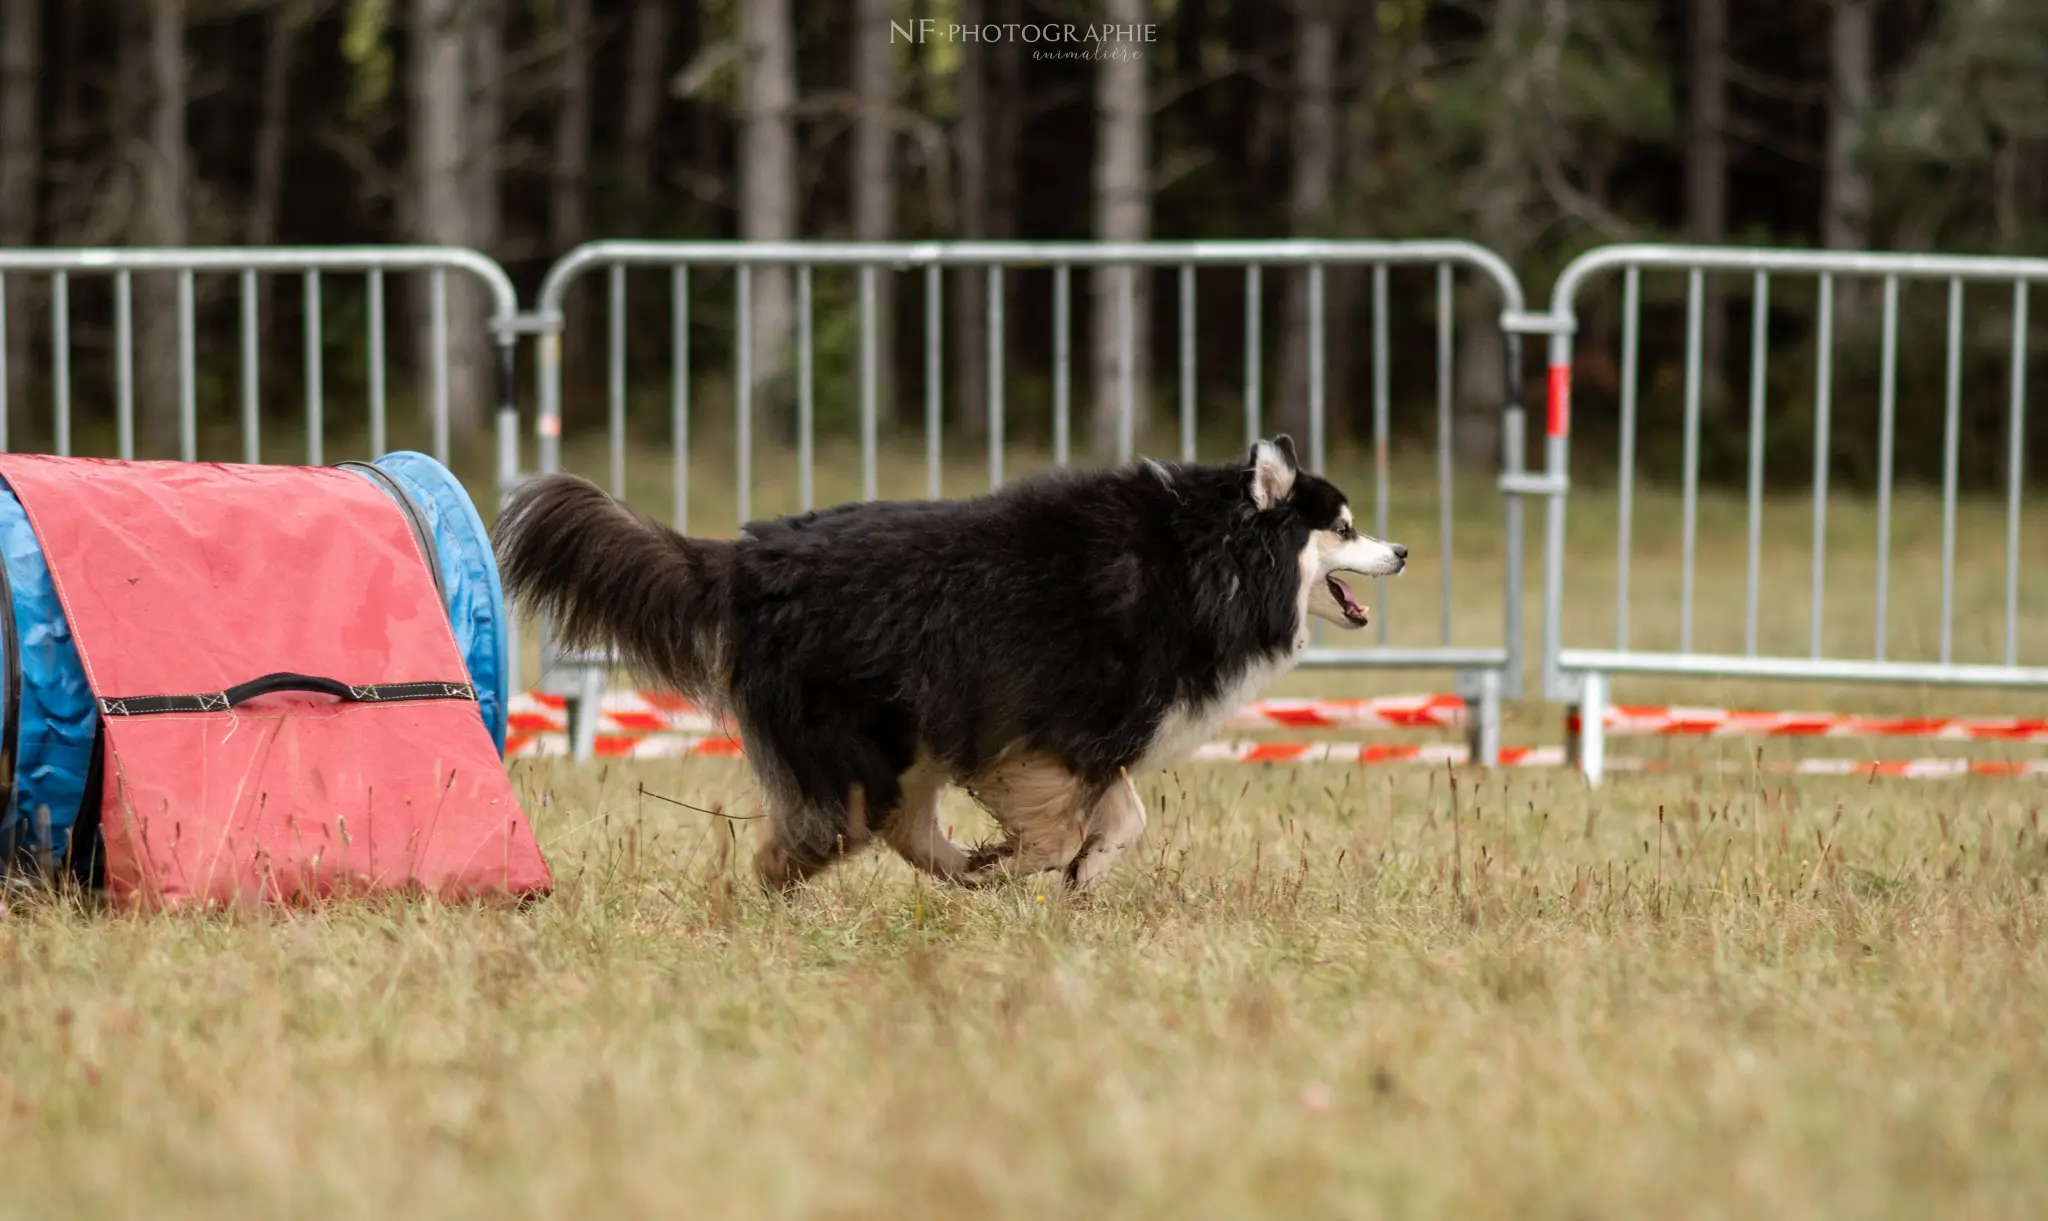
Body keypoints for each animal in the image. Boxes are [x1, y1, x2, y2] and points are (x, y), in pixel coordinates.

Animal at [491, 434, 1409, 893]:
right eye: (1345, 526)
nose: (1401, 549)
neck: (1203, 558)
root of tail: (745, 560)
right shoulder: (1044, 722)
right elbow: (1069, 820)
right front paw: (1034, 860)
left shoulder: (1089, 733)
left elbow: (1122, 819)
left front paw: (1071, 874)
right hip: (861, 741)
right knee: (832, 829)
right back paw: (791, 884)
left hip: (908, 739)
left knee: (900, 824)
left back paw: (960, 868)